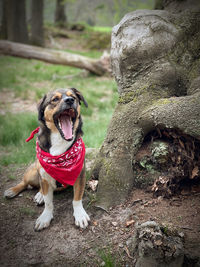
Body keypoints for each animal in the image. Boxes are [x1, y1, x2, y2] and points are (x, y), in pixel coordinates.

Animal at [4, 89, 90, 231]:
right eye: (55, 99)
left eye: (73, 97)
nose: (69, 101)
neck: (59, 141)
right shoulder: (44, 175)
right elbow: (49, 203)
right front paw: (45, 217)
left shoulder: (80, 175)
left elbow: (77, 198)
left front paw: (80, 215)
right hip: (33, 172)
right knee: (26, 183)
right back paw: (14, 191)